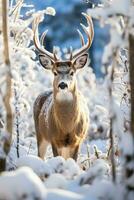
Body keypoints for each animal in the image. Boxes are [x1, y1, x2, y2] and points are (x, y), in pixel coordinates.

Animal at [33, 12, 93, 161]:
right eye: (55, 72)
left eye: (72, 72)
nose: (62, 84)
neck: (66, 128)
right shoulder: (54, 139)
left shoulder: (77, 140)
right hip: (40, 134)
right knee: (40, 156)